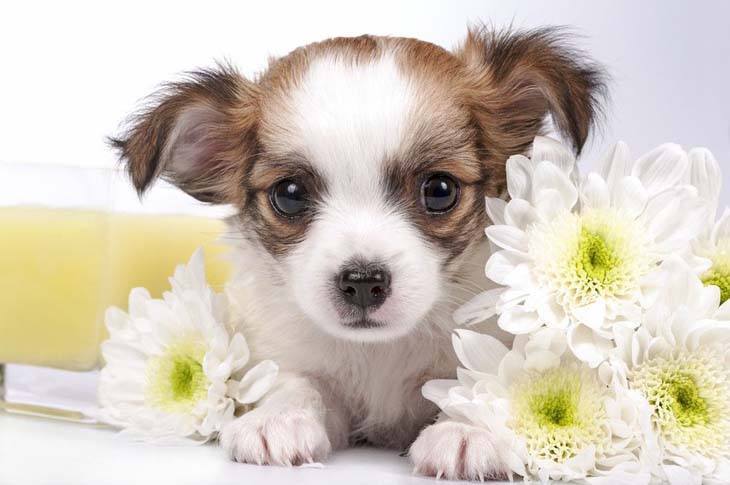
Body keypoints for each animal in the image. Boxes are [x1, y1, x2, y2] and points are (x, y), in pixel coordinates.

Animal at [112, 26, 604, 480]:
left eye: (439, 190)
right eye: (289, 194)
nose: (363, 282)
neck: (379, 352)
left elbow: (478, 379)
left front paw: (469, 429)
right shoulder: (302, 358)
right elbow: (298, 385)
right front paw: (279, 417)